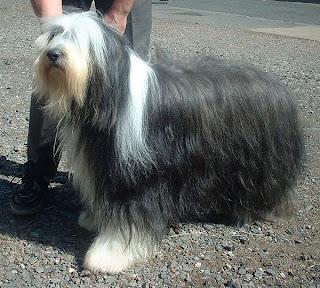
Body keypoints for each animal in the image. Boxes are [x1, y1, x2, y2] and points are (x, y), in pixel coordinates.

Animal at [33, 11, 304, 272]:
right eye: (55, 34)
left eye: (79, 39)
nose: (52, 54)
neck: (114, 95)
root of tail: (278, 87)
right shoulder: (103, 166)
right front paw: (94, 219)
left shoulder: (136, 179)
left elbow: (128, 221)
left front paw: (108, 256)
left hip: (258, 160)